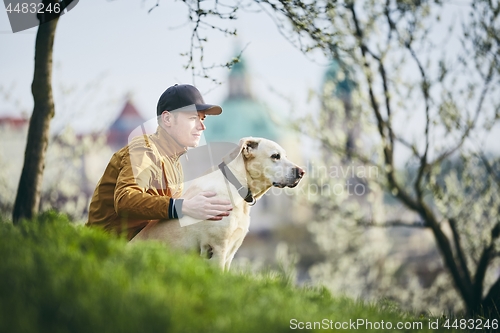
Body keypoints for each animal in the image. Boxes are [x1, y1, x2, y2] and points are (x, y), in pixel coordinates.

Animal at [131, 137, 302, 270]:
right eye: (275, 156)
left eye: (285, 156)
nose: (301, 172)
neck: (236, 184)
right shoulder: (217, 248)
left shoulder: (230, 252)